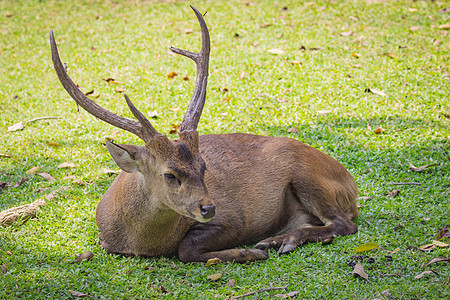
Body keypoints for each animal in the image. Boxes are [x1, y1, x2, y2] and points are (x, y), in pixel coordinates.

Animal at [50, 5, 358, 262]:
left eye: (204, 166)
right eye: (169, 174)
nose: (208, 209)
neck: (139, 241)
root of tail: (351, 185)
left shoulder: (235, 219)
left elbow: (186, 249)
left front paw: (249, 252)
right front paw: (253, 250)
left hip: (309, 177)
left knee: (345, 224)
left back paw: (281, 241)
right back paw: (276, 240)